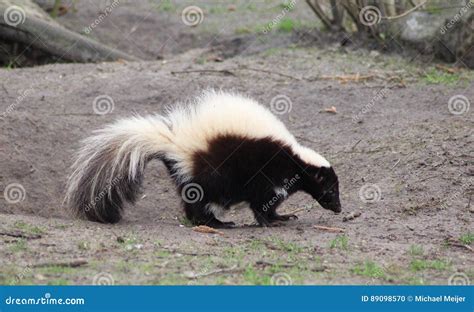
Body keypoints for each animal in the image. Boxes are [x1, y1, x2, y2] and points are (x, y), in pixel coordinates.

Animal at [65, 89, 340, 227]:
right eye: (331, 189)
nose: (338, 208)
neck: (295, 157)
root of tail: (175, 145)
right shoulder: (268, 173)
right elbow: (263, 200)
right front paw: (272, 221)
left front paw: (280, 217)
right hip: (212, 173)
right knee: (201, 200)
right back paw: (216, 223)